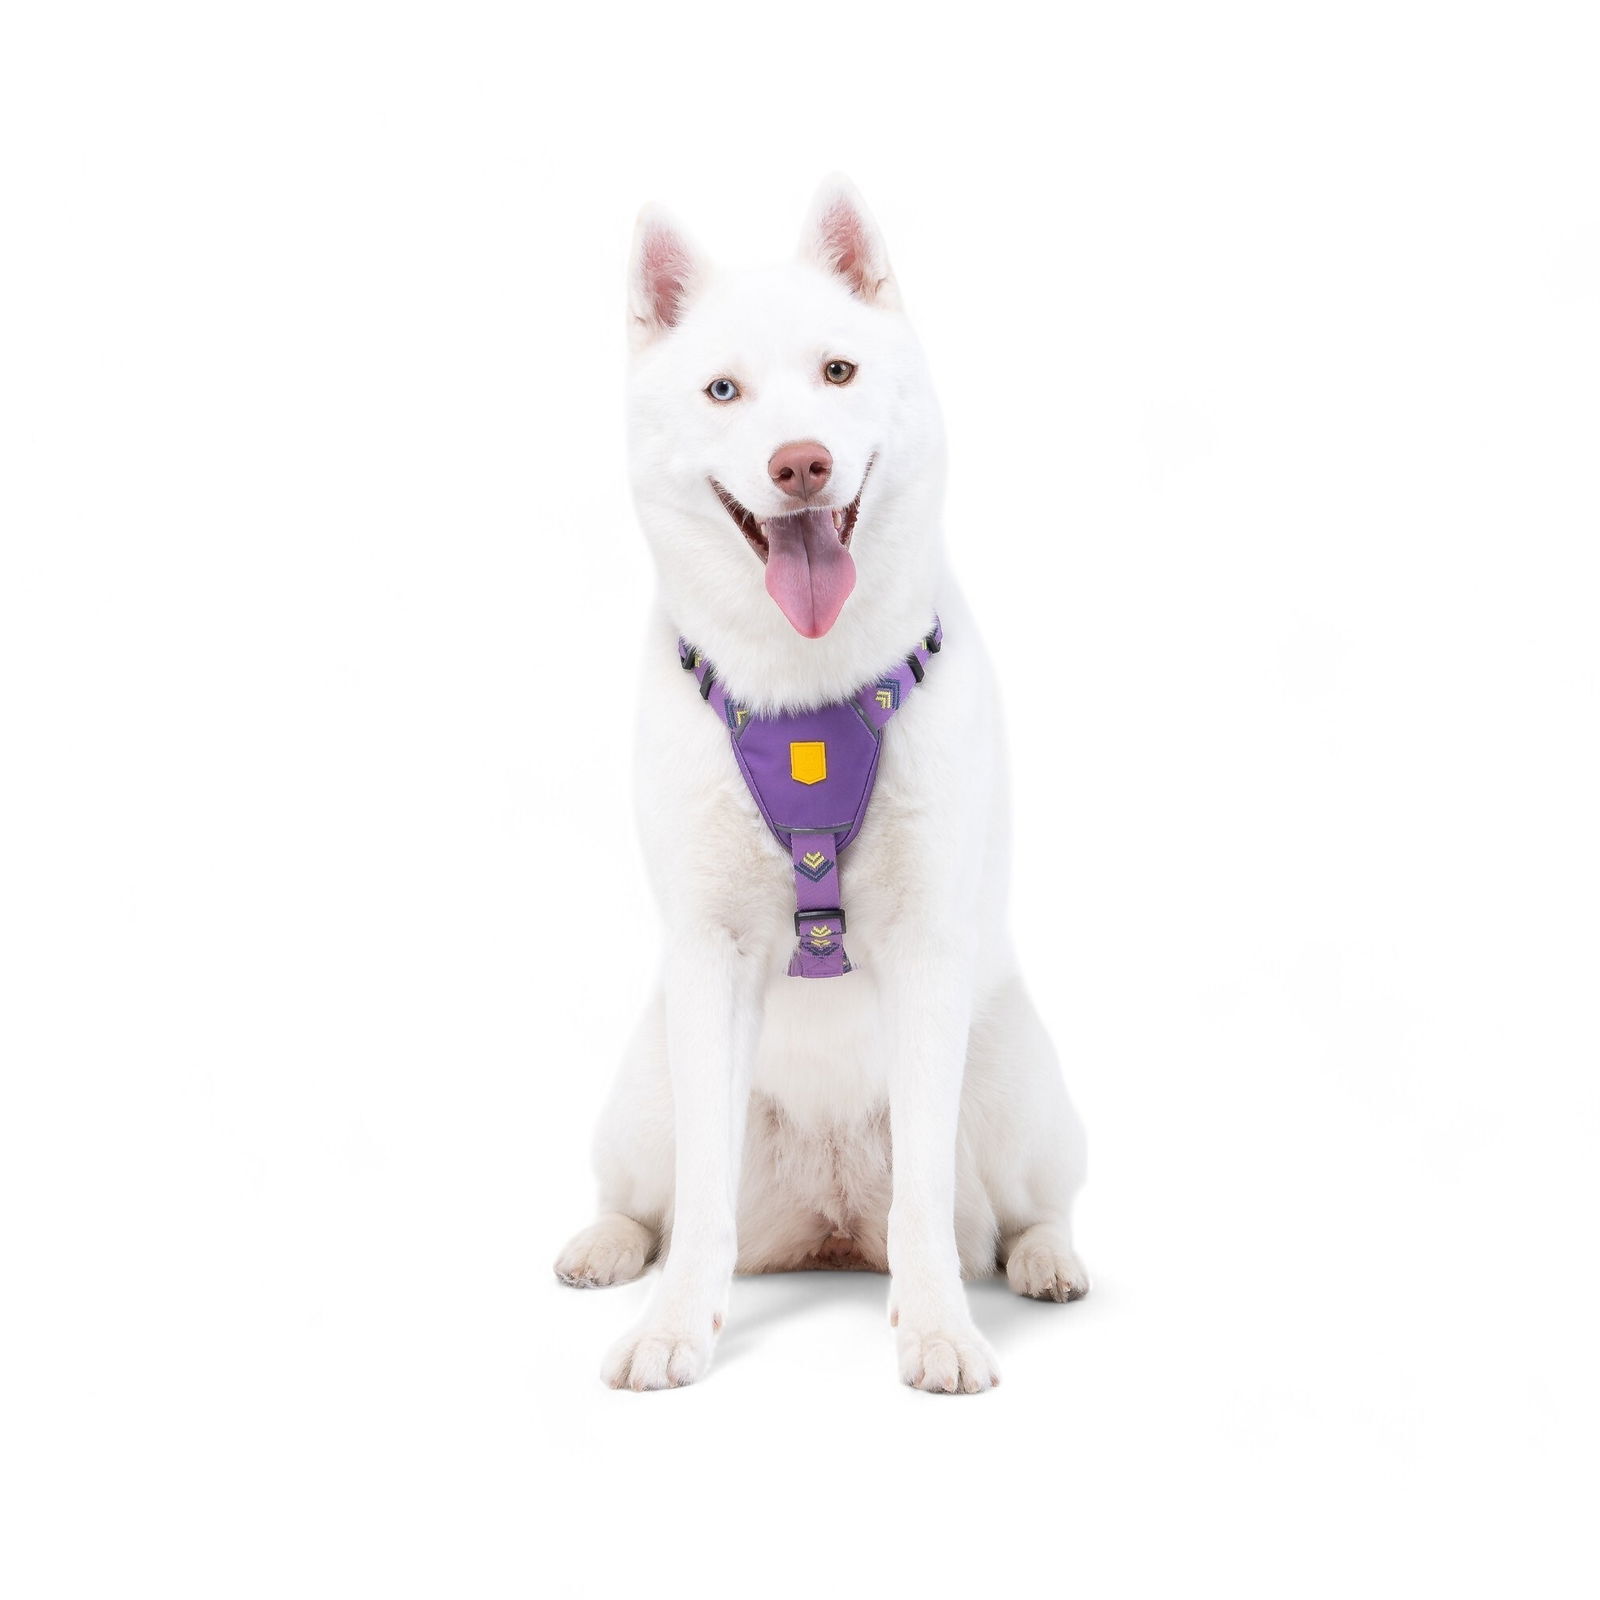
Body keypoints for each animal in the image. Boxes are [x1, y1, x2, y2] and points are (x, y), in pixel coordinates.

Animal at [553, 178, 1088, 1392]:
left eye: (838, 372)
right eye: (723, 391)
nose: (799, 462)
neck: (803, 695)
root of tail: (830, 1220)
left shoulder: (929, 949)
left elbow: (927, 1202)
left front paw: (937, 1326)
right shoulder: (709, 959)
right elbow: (699, 1200)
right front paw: (673, 1326)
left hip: (1019, 1085)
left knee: (1020, 1206)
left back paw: (1044, 1259)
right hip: (644, 1091)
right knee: (647, 1195)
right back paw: (606, 1246)